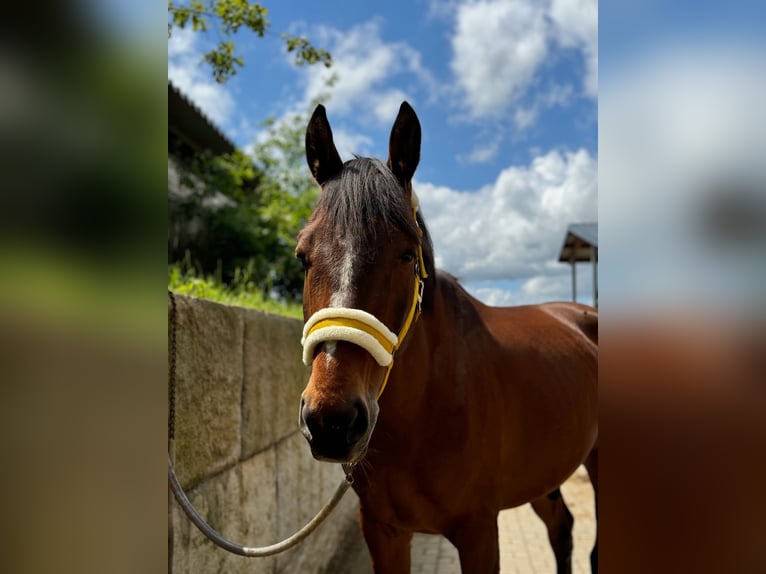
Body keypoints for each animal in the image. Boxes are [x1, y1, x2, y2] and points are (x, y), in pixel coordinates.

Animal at [296, 101, 598, 574]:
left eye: (407, 254)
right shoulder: (382, 531)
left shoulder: (478, 531)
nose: (332, 420)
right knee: (561, 528)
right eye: (302, 256)